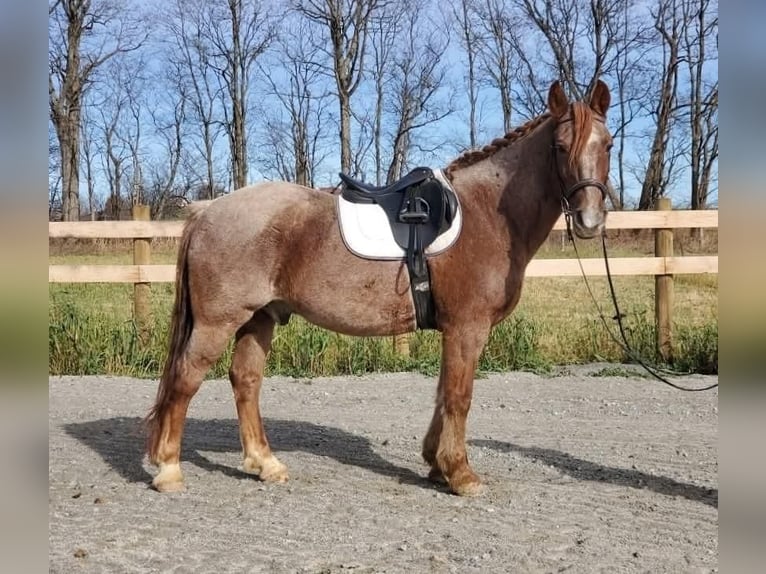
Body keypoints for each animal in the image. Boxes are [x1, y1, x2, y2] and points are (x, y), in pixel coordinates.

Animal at [147, 79, 616, 498]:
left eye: (608, 144)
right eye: (560, 147)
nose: (589, 220)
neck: (486, 212)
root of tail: (208, 211)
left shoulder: (453, 331)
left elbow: (443, 393)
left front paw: (436, 464)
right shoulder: (468, 328)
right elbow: (459, 396)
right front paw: (461, 474)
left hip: (260, 317)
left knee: (245, 380)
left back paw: (266, 464)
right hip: (218, 322)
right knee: (185, 379)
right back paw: (169, 471)